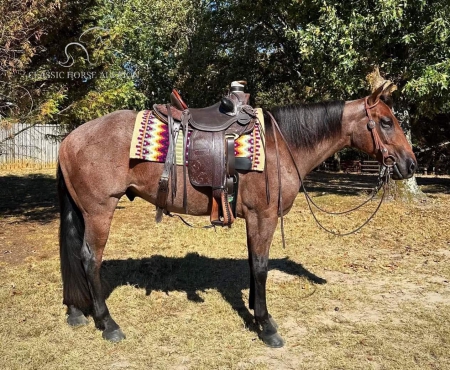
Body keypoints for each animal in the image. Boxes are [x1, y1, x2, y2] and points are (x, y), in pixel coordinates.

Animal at [58, 84, 416, 346]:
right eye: (386, 122)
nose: (410, 165)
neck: (280, 146)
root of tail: (68, 139)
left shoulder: (253, 219)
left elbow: (252, 264)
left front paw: (256, 313)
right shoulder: (263, 216)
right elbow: (260, 266)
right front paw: (267, 326)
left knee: (74, 254)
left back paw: (76, 311)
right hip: (99, 211)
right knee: (89, 259)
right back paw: (108, 324)